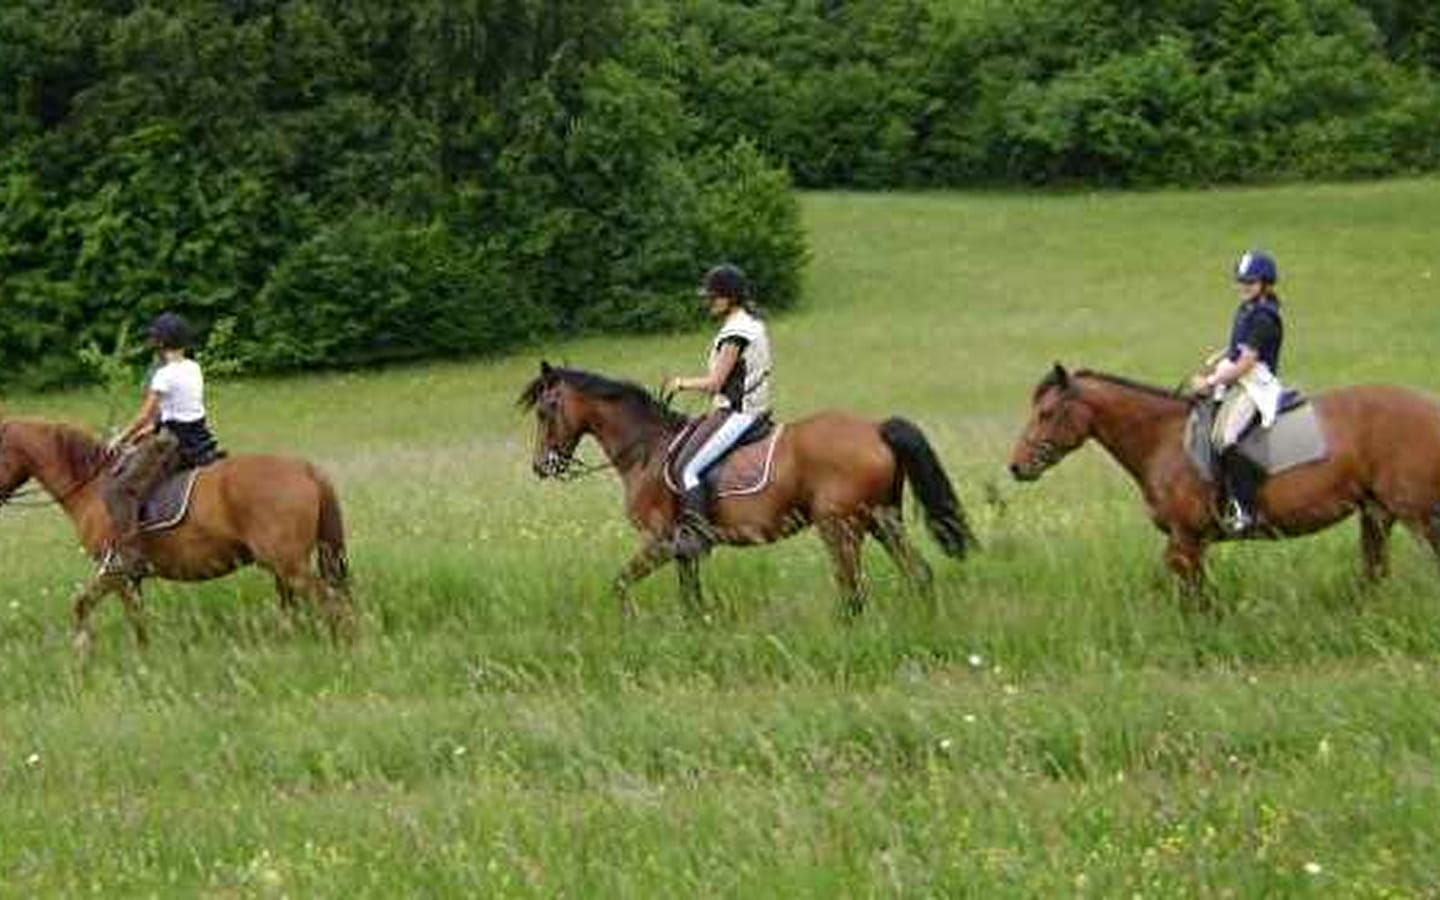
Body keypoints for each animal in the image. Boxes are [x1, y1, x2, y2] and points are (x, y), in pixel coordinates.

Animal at [0, 414, 354, 653]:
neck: (91, 487)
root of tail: (307, 469)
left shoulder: (114, 571)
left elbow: (84, 604)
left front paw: (85, 649)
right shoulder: (130, 577)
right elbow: (135, 617)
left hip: (289, 565)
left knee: (333, 603)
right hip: (284, 566)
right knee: (298, 605)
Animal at [512, 360, 973, 616]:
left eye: (544, 412)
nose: (541, 466)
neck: (645, 449)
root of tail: (875, 428)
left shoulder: (661, 541)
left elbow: (621, 584)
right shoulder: (681, 548)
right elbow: (689, 595)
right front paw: (698, 626)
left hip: (839, 527)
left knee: (853, 591)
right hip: (882, 520)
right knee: (918, 573)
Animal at [1008, 361, 1440, 599]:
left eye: (1046, 413)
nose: (1016, 466)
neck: (1164, 437)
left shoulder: (1185, 537)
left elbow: (1191, 591)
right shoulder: (1187, 540)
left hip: (1416, 514)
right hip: (1377, 513)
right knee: (1374, 569)